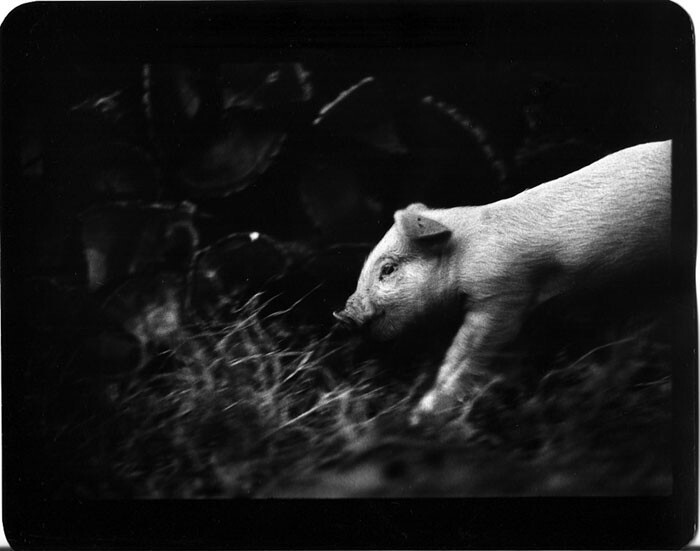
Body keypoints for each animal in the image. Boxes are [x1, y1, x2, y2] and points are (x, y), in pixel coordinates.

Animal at [334, 140, 672, 424]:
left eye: (388, 269)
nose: (343, 314)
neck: (464, 253)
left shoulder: (502, 293)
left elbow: (467, 351)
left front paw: (418, 417)